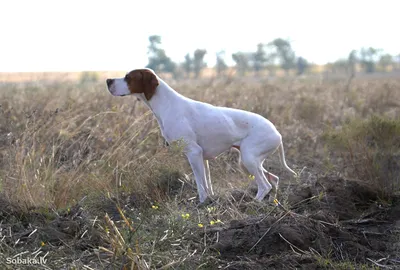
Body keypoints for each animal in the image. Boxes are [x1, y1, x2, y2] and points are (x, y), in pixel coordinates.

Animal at [107, 68, 296, 204]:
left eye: (128, 77)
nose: (108, 80)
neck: (167, 103)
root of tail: (277, 133)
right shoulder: (203, 158)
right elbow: (207, 184)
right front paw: (210, 202)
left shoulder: (194, 153)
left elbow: (200, 186)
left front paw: (202, 203)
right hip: (249, 161)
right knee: (274, 180)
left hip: (249, 159)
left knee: (264, 185)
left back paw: (253, 203)